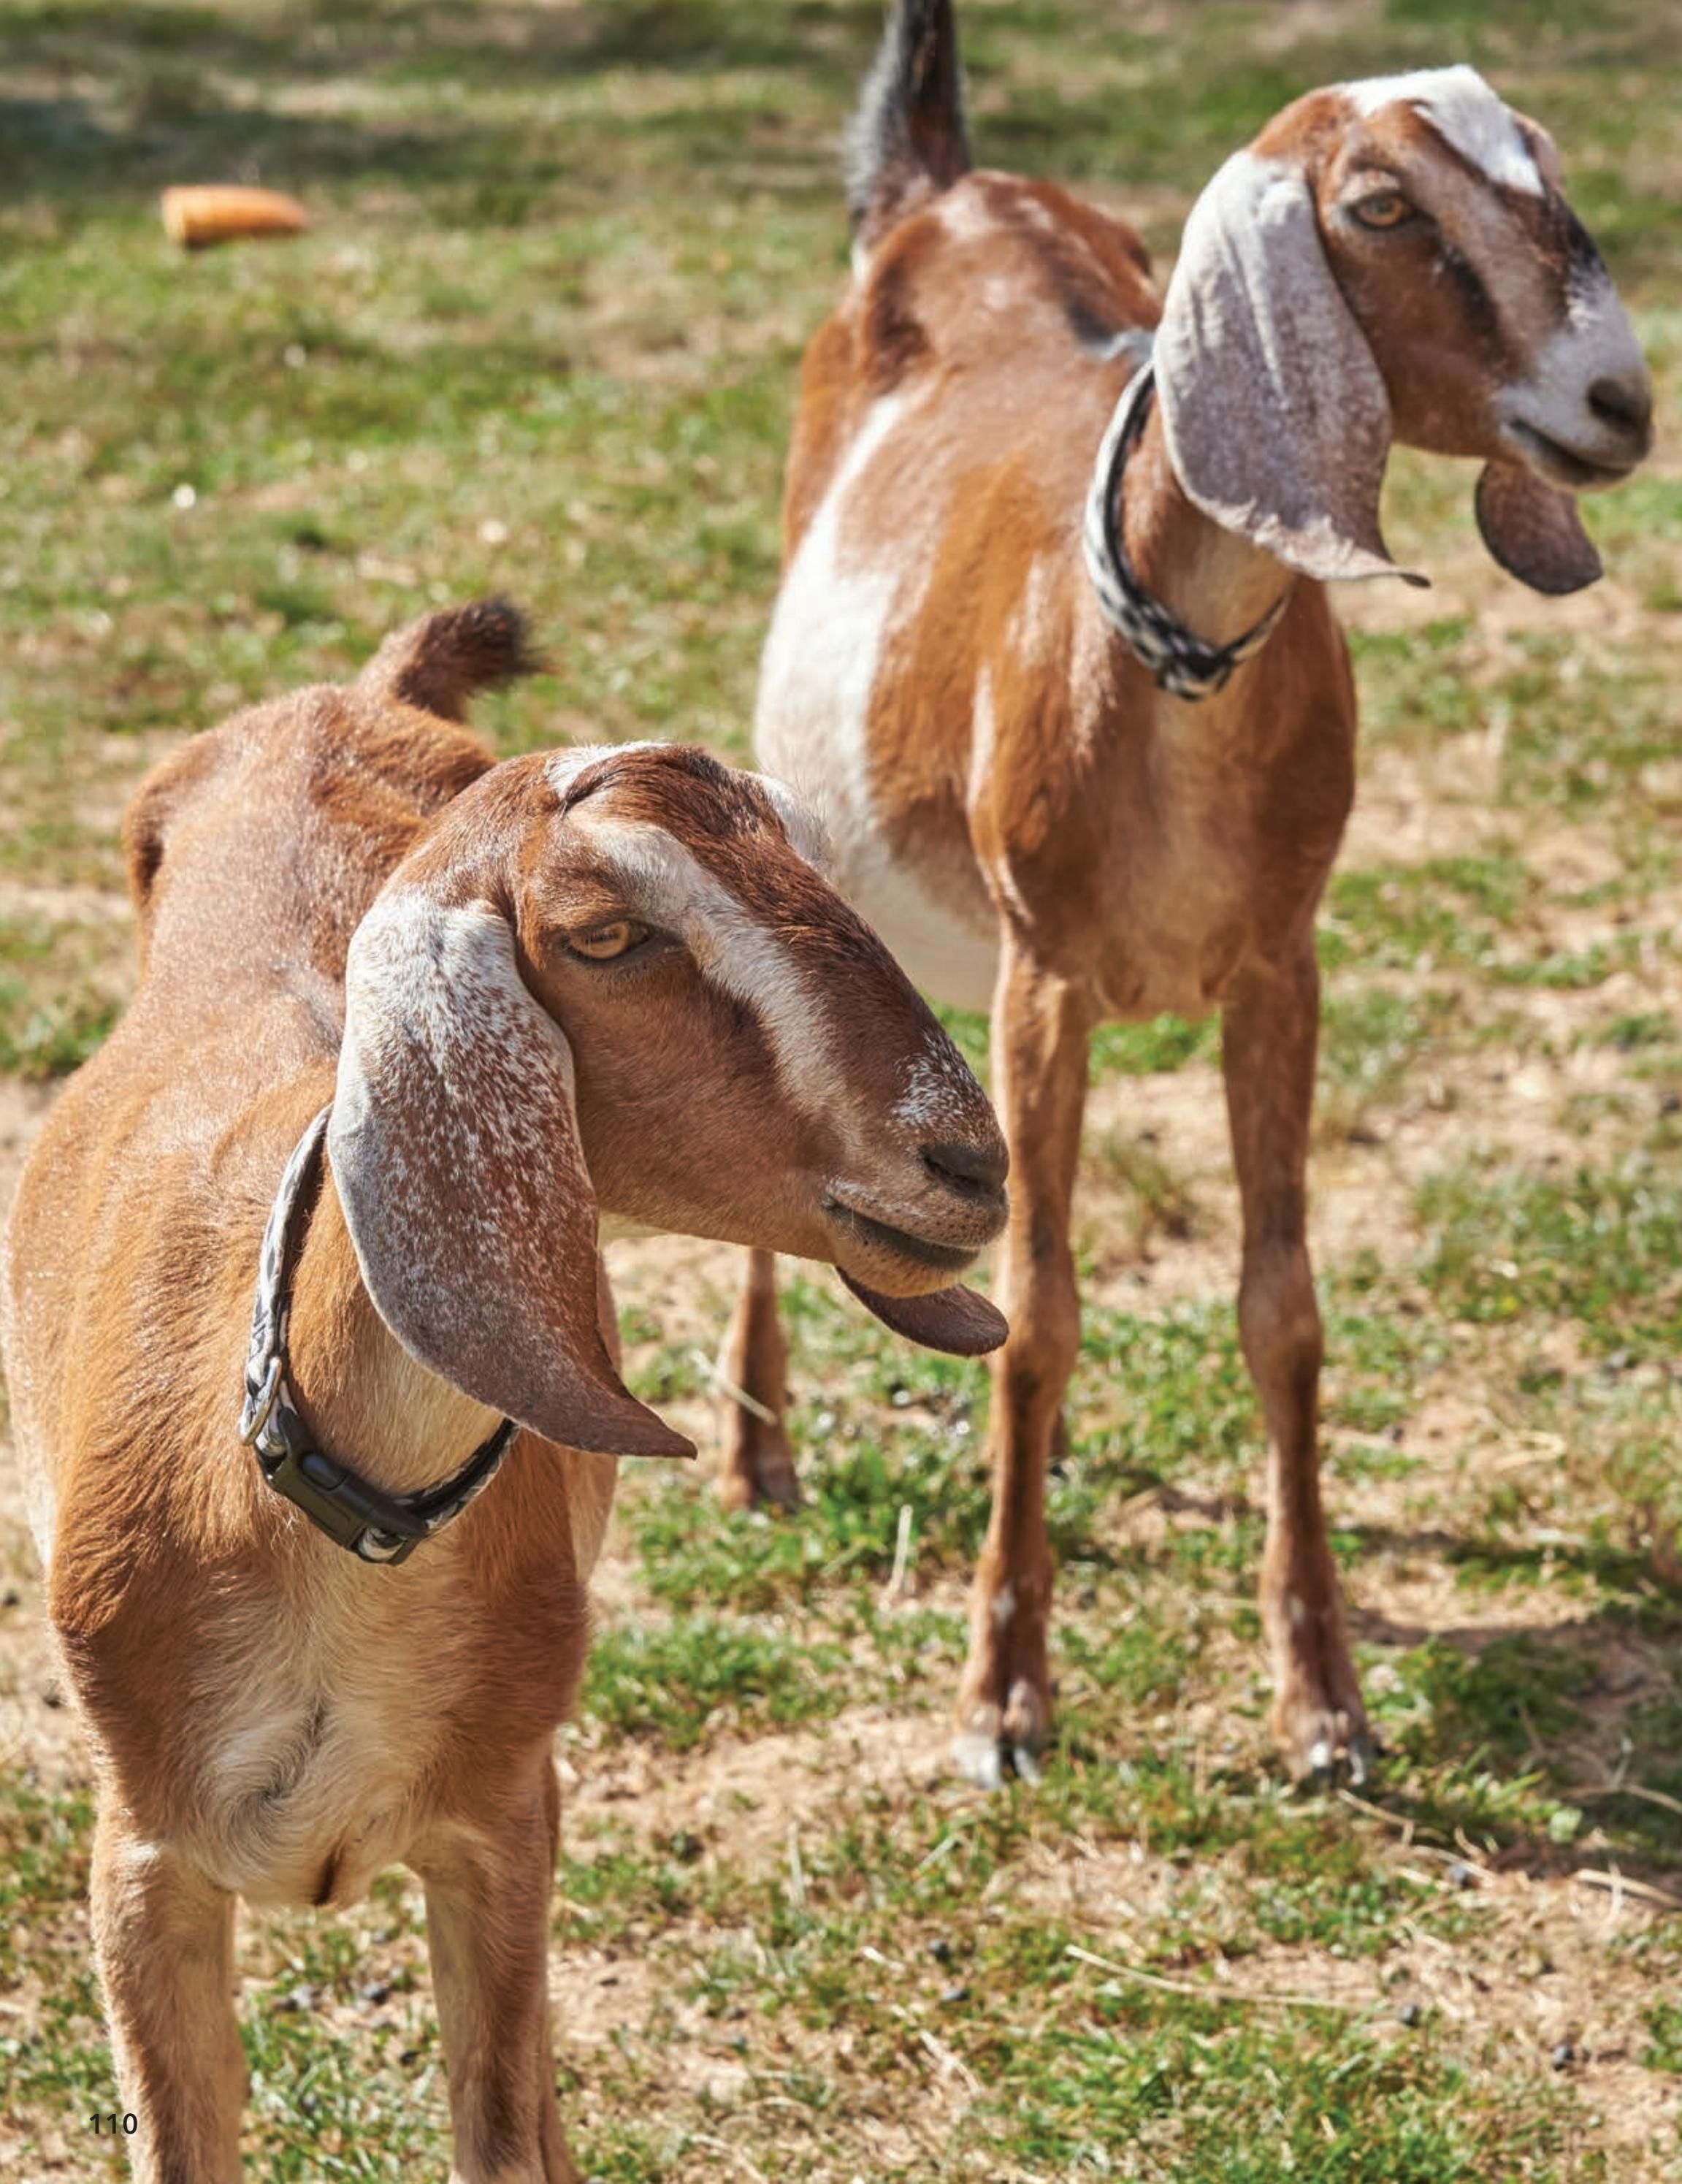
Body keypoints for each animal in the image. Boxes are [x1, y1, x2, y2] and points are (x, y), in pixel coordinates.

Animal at [0, 599, 1008, 2184]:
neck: (319, 1509)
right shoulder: (142, 1856)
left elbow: (503, 2131)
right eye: (605, 934)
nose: (969, 1162)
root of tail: (352, 695)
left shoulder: (499, 1824)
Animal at [722, 0, 1653, 1786]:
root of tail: (941, 184)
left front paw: (1322, 1701)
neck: (1160, 663)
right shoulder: (1046, 978)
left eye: (1543, 169)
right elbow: (1036, 1305)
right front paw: (1002, 1694)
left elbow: (1278, 1309)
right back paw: (754, 1452)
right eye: (1379, 205)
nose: (1617, 398)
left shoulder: (1279, 966)